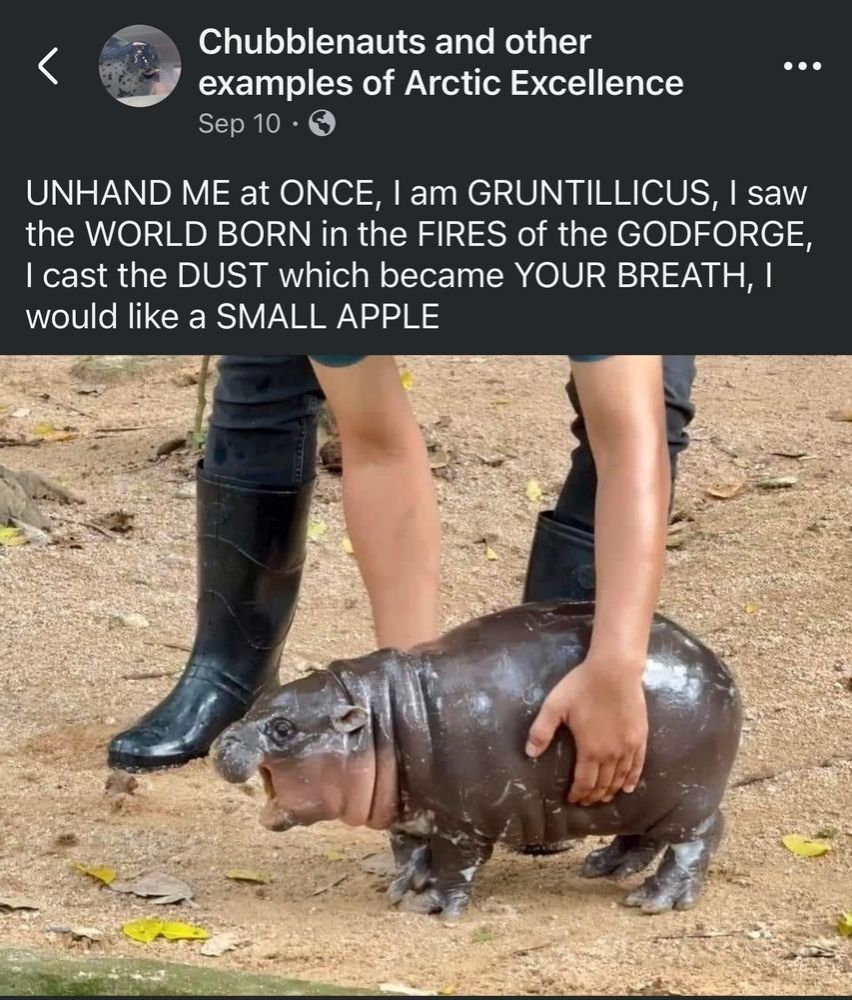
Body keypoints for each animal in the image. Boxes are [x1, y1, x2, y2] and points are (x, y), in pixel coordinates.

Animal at [212, 602, 741, 919]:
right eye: (258, 702)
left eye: (283, 729)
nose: (221, 742)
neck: (382, 720)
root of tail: (720, 667)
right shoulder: (410, 814)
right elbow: (408, 849)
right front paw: (402, 886)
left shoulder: (461, 823)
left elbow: (455, 865)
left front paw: (431, 906)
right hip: (637, 795)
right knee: (642, 837)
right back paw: (603, 866)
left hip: (686, 798)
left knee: (699, 838)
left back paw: (653, 900)